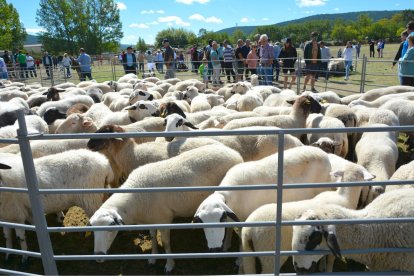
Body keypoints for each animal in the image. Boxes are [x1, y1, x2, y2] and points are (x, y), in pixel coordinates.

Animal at [87, 144, 243, 272]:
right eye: (93, 230)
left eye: (111, 228)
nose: (98, 256)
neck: (135, 198)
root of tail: (235, 153)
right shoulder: (151, 219)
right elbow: (152, 237)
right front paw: (153, 257)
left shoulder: (164, 219)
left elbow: (166, 243)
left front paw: (169, 264)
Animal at [241, 162, 376, 274]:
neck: (345, 196)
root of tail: (249, 230)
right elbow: (331, 259)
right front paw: (328, 270)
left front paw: (321, 266)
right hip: (269, 255)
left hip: (248, 252)